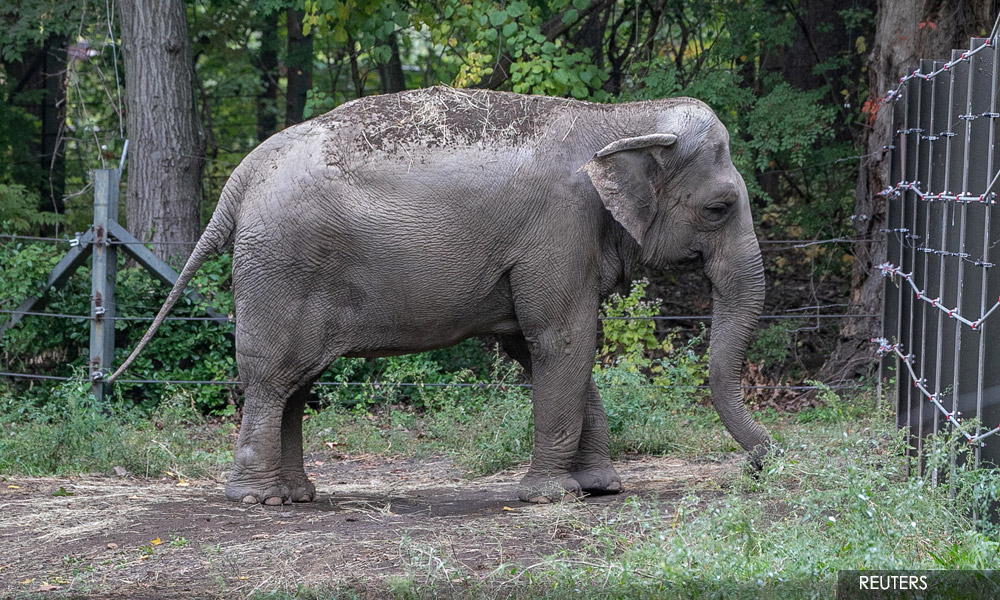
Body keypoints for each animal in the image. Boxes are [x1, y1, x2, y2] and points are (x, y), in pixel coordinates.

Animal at [110, 85, 772, 505]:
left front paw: (601, 488)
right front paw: (551, 496)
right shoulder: (558, 230)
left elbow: (545, 346)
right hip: (281, 267)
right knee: (273, 377)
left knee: (297, 382)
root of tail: (242, 177)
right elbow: (563, 338)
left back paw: (296, 495)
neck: (620, 119)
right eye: (719, 208)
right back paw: (257, 501)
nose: (765, 463)